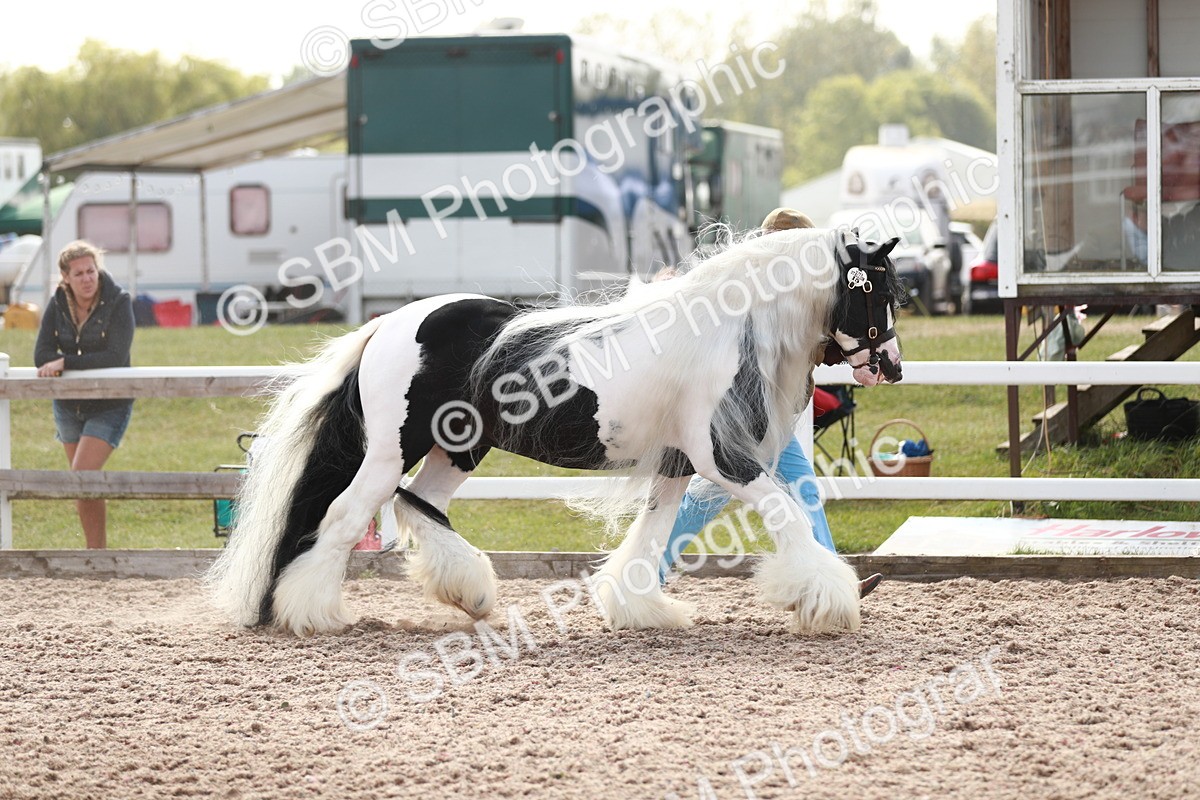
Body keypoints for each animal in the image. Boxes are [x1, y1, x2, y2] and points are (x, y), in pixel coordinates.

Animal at [205, 226, 904, 637]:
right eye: (878, 290)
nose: (892, 367)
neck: (724, 332)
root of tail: (387, 325)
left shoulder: (677, 466)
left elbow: (651, 536)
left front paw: (640, 609)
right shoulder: (723, 461)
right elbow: (787, 517)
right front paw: (827, 601)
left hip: (460, 448)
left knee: (419, 504)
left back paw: (472, 596)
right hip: (391, 451)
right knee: (348, 516)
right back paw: (312, 612)